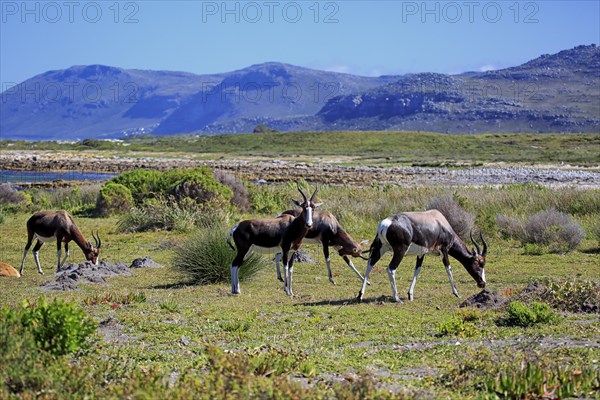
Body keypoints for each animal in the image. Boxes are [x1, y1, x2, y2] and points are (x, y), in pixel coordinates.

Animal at [356, 209, 488, 304]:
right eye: (478, 264)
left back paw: (360, 296)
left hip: (381, 247)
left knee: (370, 264)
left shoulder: (421, 254)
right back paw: (396, 298)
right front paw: (456, 293)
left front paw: (410, 295)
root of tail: (385, 224)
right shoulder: (444, 250)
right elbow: (448, 269)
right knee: (391, 268)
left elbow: (417, 270)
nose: (482, 283)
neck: (439, 220)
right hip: (400, 251)